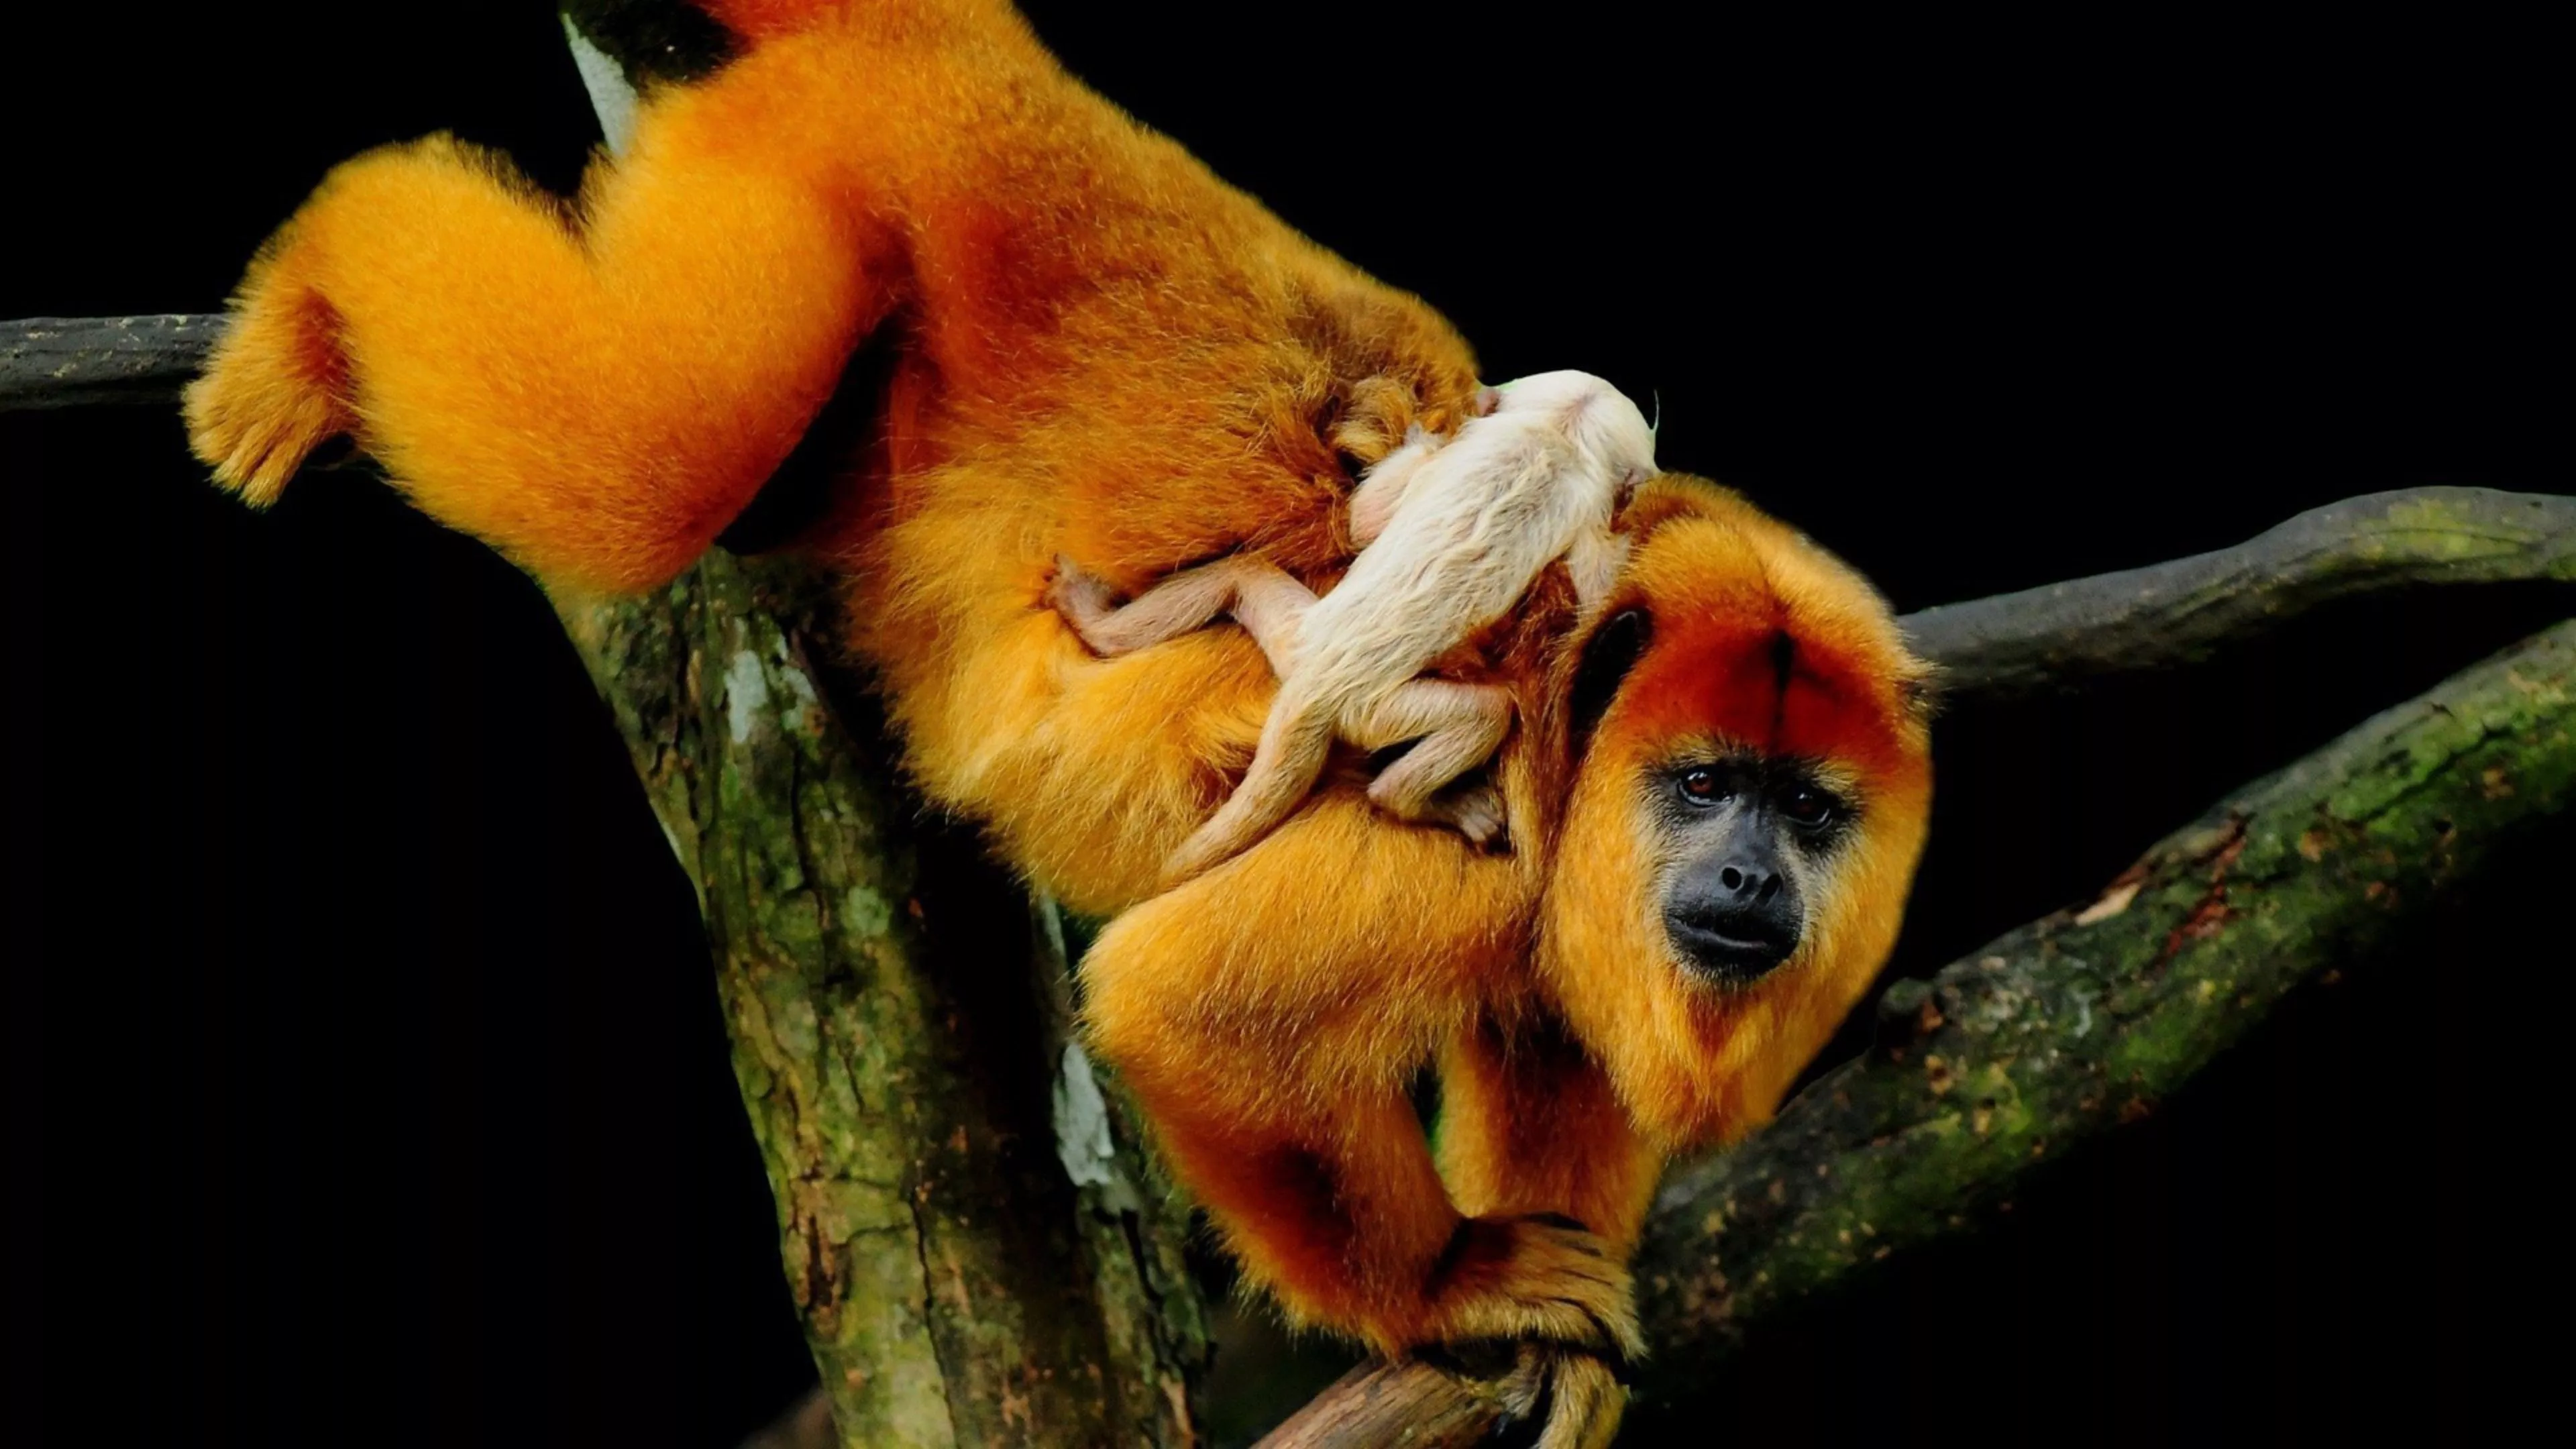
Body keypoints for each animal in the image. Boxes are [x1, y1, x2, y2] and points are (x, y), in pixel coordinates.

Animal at [1046, 370, 1658, 882]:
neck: (1561, 429)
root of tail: (1310, 690)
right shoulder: (1583, 506)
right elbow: (1591, 594)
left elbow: (1364, 523)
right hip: (1370, 712)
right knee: (1486, 712)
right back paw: (1411, 799)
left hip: (1294, 634)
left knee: (1242, 574)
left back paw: (1092, 621)